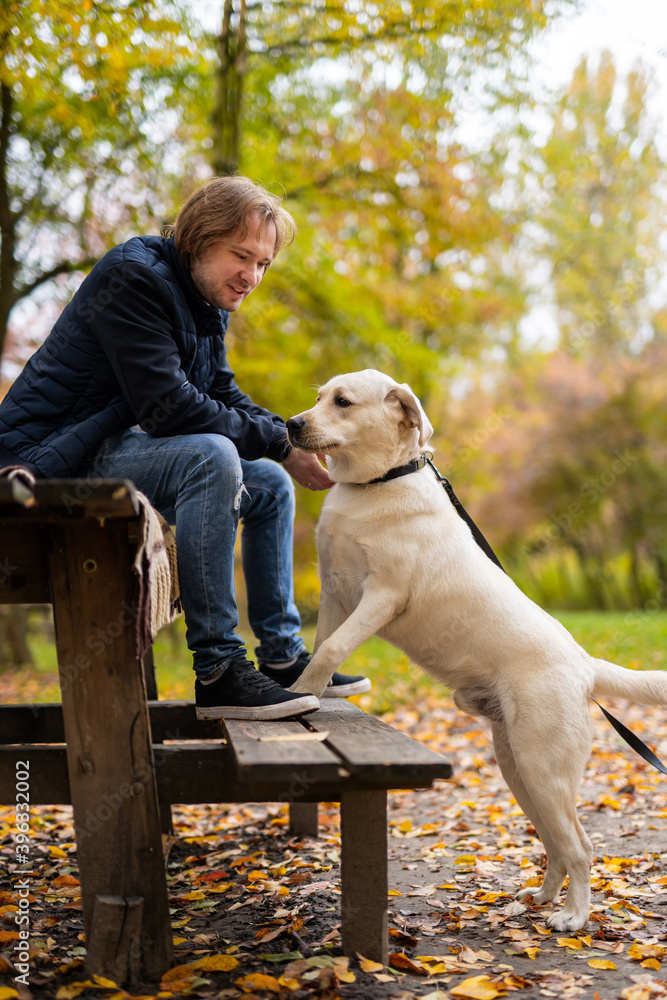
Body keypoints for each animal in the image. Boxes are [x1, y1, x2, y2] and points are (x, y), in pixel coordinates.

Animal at [286, 368, 667, 928]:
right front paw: (308, 692)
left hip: (543, 768)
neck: (374, 485)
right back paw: (542, 898)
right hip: (518, 770)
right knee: (556, 844)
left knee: (579, 846)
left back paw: (573, 917)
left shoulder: (381, 596)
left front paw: (296, 696)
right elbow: (321, 647)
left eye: (343, 402)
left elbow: (332, 649)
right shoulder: (335, 593)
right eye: (316, 398)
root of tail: (584, 666)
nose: (290, 424)